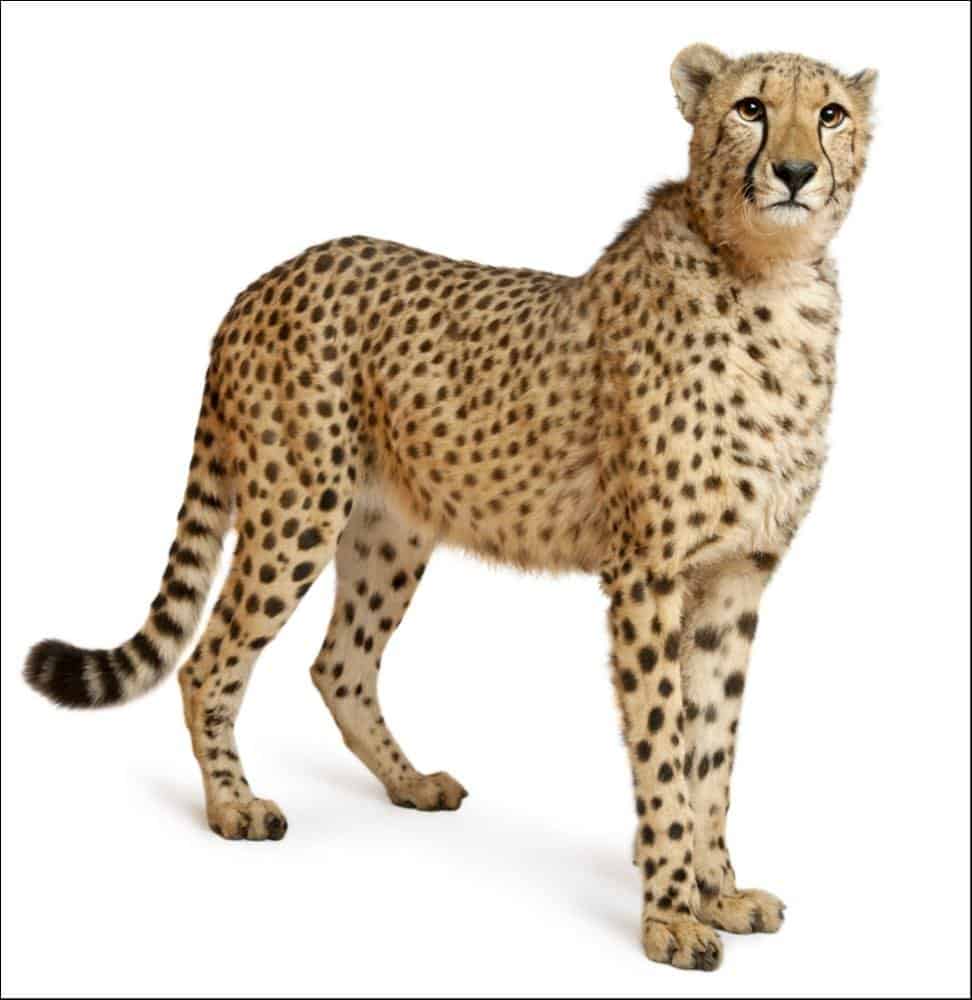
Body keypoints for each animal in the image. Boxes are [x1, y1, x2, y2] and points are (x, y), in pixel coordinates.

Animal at [25, 44, 876, 971]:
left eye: (830, 114)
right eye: (751, 108)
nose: (794, 171)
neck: (769, 277)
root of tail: (266, 279)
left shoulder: (735, 576)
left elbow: (711, 748)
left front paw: (719, 891)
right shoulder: (647, 575)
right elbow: (662, 747)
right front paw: (672, 916)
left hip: (389, 530)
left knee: (340, 663)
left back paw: (410, 783)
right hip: (296, 508)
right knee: (209, 659)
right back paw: (233, 807)